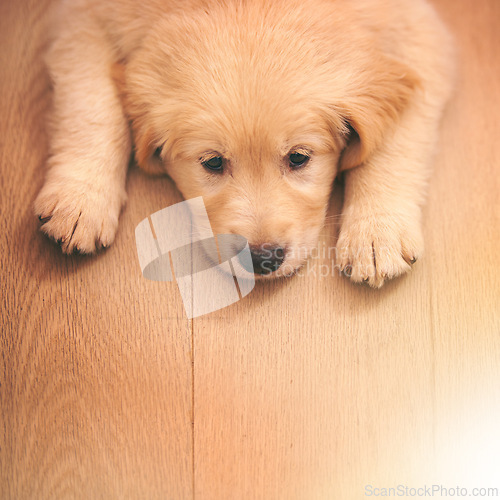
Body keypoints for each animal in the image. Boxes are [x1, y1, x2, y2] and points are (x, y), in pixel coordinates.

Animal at [35, 0, 456, 286]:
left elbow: (396, 141)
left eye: (299, 158)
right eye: (213, 163)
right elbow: (90, 102)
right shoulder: (82, 17)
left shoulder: (418, 30)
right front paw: (80, 200)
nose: (263, 260)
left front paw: (376, 233)